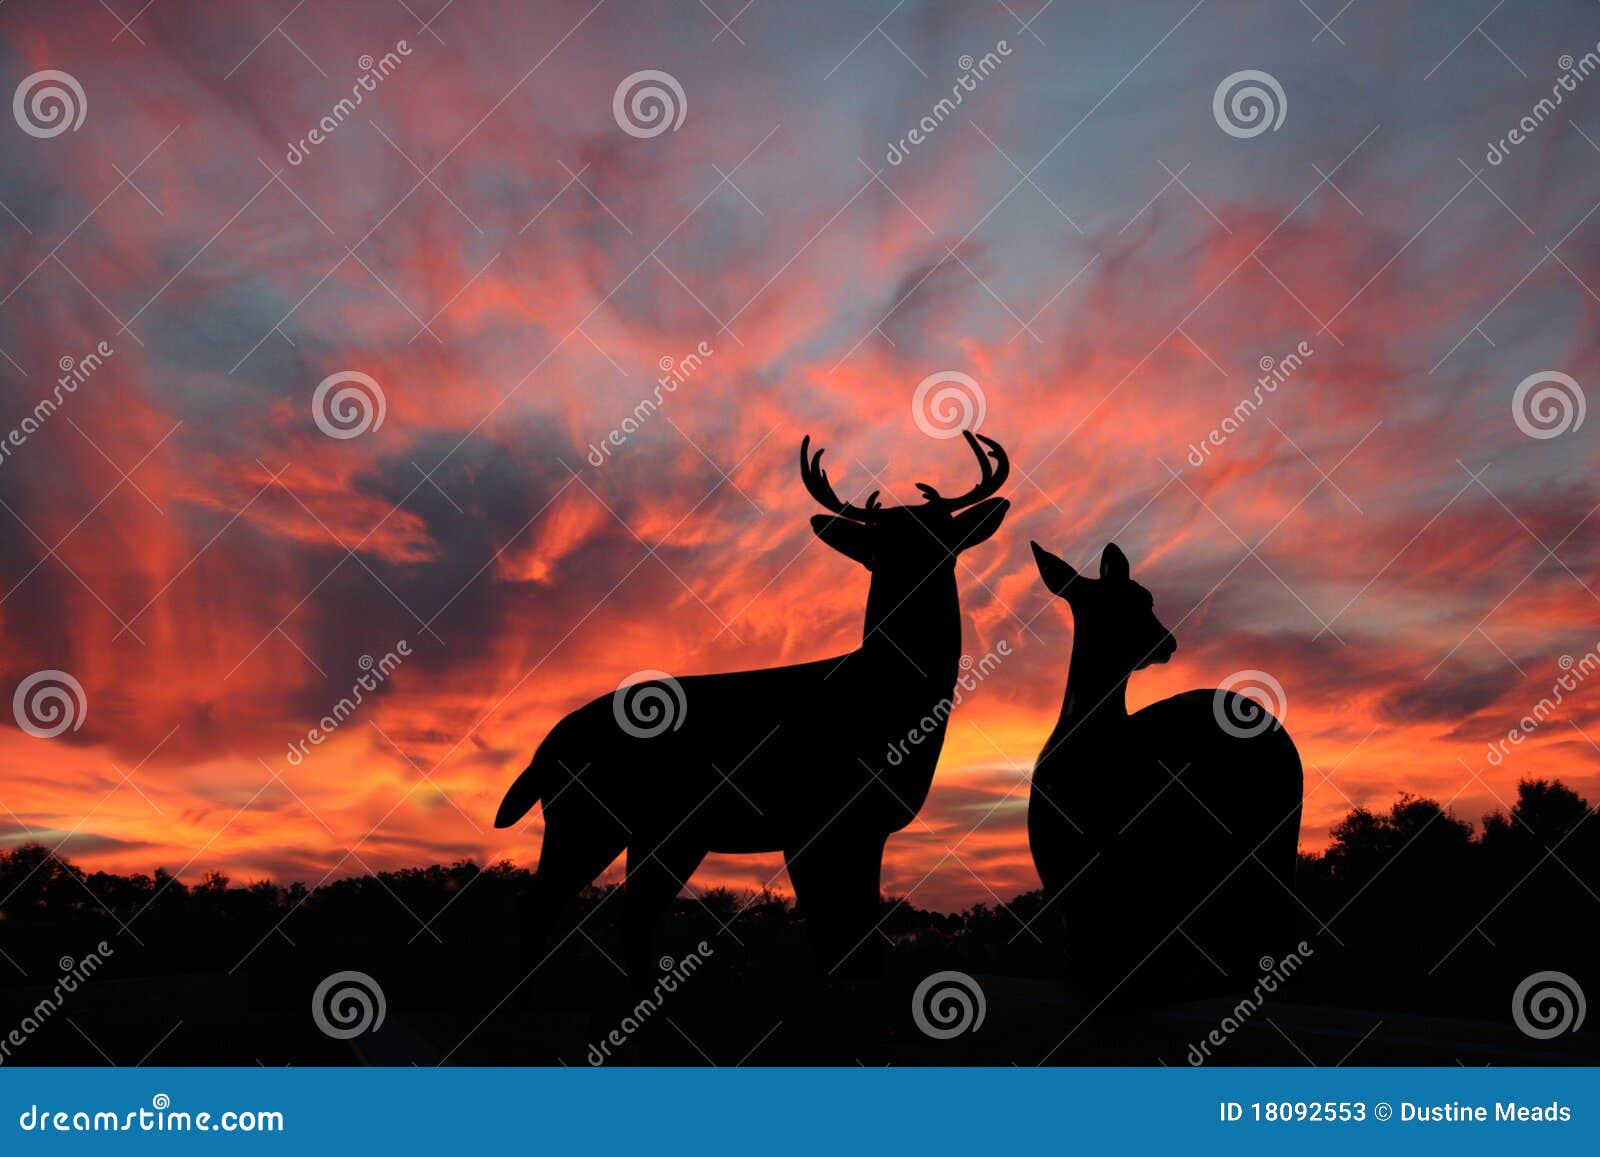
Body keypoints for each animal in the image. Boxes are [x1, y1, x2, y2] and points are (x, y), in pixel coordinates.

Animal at [495, 431, 1010, 982]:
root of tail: (546, 746)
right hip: (584, 816)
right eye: (879, 546)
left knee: (631, 914)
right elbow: (831, 940)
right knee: (542, 902)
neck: (885, 704)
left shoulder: (868, 828)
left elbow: (860, 941)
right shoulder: (809, 819)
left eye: (943, 538)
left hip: (664, 832)